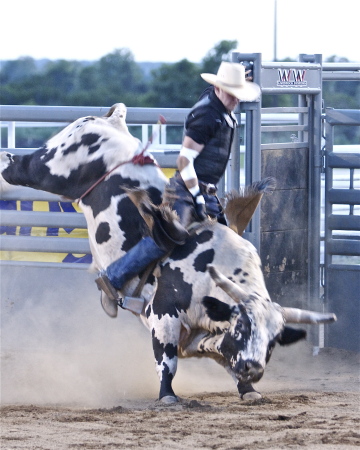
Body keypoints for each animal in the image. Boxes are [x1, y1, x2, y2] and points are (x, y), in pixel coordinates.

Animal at [0, 103, 338, 402]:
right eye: (243, 326)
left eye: (274, 340)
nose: (253, 367)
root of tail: (107, 121)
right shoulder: (164, 315)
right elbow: (167, 362)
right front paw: (167, 396)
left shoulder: (206, 337)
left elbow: (224, 358)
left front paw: (249, 390)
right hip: (51, 166)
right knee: (19, 167)